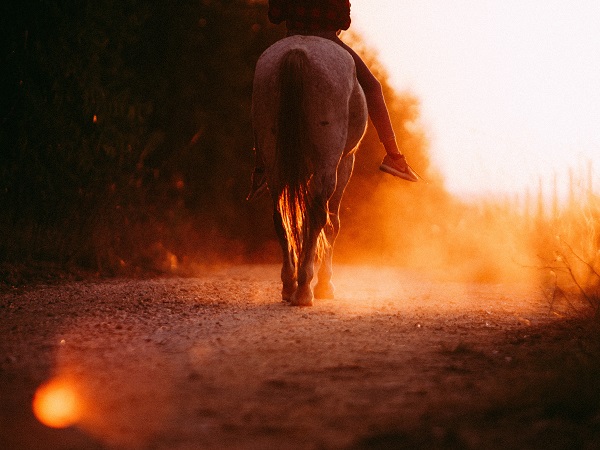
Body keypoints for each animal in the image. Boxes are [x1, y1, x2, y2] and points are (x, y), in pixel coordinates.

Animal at [252, 36, 368, 306]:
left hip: (275, 161)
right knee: (318, 216)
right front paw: (326, 285)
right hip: (329, 162)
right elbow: (332, 223)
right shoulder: (345, 163)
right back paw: (305, 288)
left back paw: (289, 285)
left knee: (280, 216)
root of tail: (297, 52)